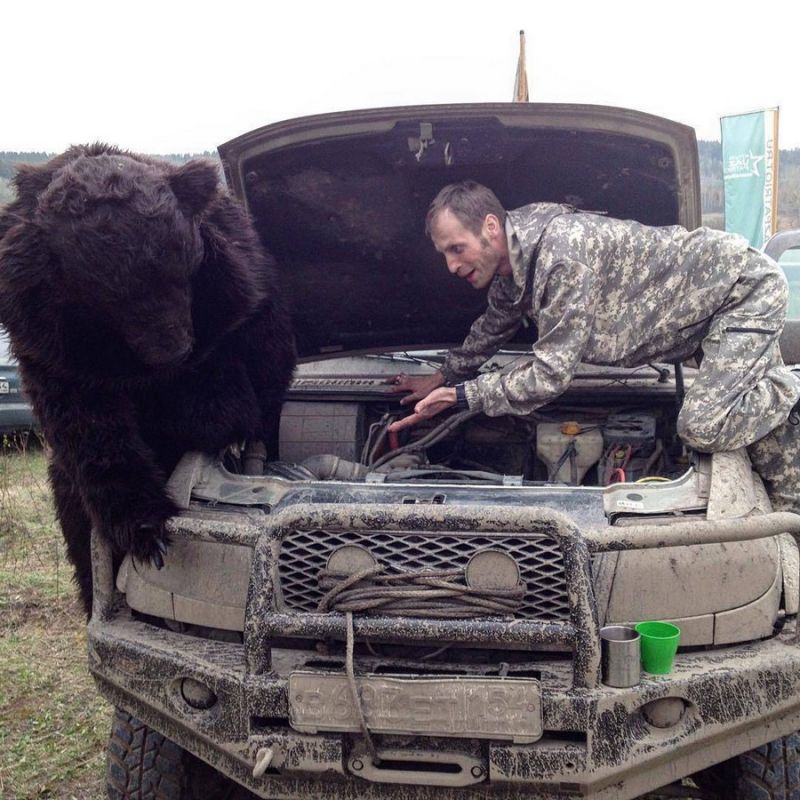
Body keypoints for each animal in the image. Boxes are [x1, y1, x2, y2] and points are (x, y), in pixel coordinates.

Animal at [0, 144, 296, 616]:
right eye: (106, 295)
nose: (173, 350)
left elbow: (256, 366)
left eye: (178, 266)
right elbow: (93, 433)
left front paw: (229, 427)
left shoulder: (236, 293)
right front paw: (148, 531)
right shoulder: (51, 344)